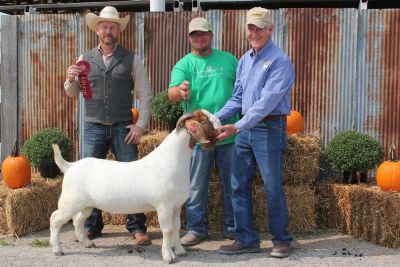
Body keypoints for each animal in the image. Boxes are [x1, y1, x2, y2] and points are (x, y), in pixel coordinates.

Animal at [50, 110, 222, 264]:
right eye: (204, 119)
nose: (221, 129)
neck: (172, 160)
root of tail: (70, 166)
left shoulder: (176, 206)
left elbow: (177, 227)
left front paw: (180, 251)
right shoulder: (164, 206)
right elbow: (168, 230)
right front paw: (168, 256)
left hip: (86, 205)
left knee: (78, 220)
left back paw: (87, 243)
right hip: (70, 202)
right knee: (55, 219)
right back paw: (57, 249)